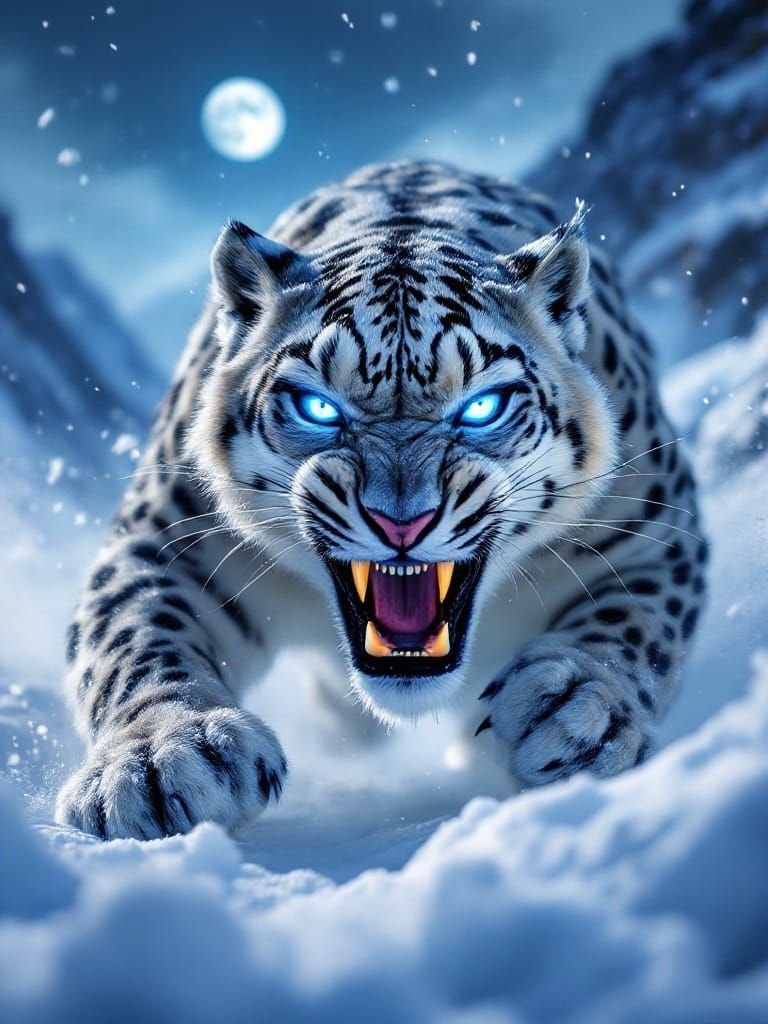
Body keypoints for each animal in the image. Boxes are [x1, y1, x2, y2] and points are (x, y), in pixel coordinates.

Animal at [56, 160, 707, 840]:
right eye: (317, 407)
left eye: (483, 406)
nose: (401, 522)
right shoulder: (165, 543)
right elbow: (134, 638)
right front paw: (162, 758)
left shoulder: (652, 527)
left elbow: (638, 620)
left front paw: (579, 709)